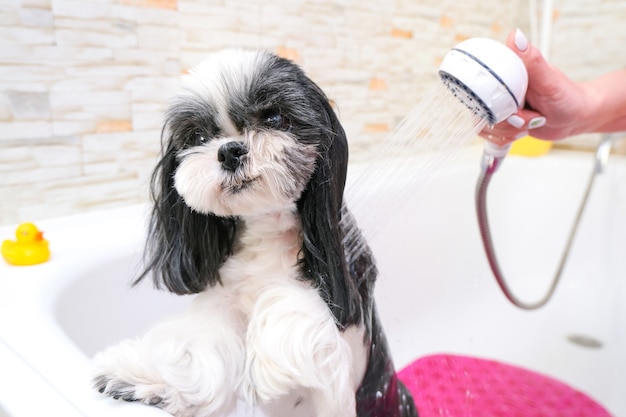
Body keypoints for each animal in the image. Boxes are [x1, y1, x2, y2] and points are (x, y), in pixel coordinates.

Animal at [91, 49, 414, 416]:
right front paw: (144, 379)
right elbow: (200, 355)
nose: (230, 150)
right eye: (198, 137)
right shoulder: (222, 300)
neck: (265, 229)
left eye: (274, 118)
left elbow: (295, 303)